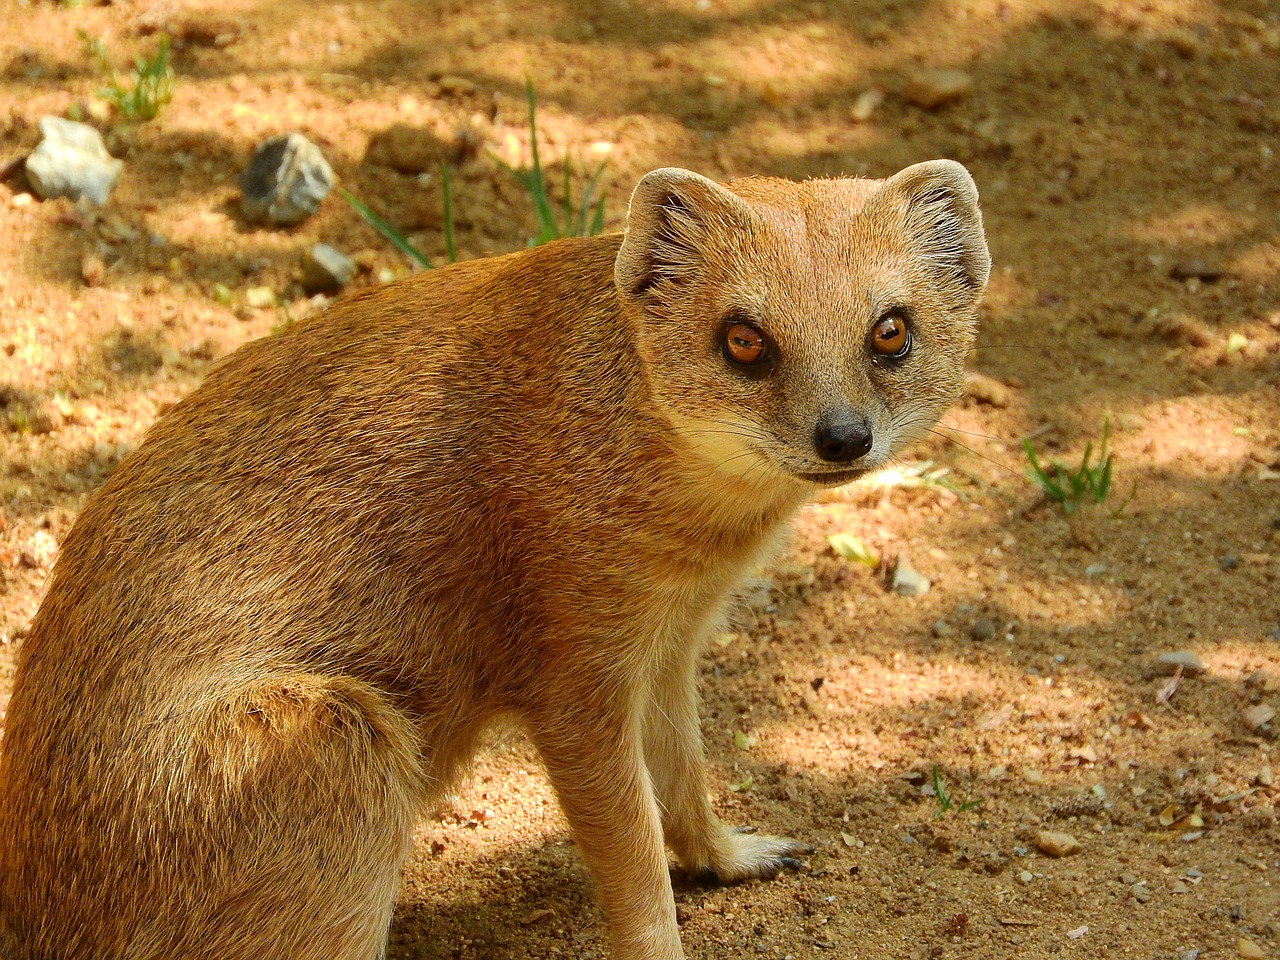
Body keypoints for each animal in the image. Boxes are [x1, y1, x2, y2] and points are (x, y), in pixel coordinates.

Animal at [0, 160, 988, 960]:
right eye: (743, 339)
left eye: (891, 331)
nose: (843, 436)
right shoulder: (571, 651)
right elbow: (627, 844)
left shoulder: (670, 641)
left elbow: (683, 767)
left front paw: (731, 853)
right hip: (333, 740)